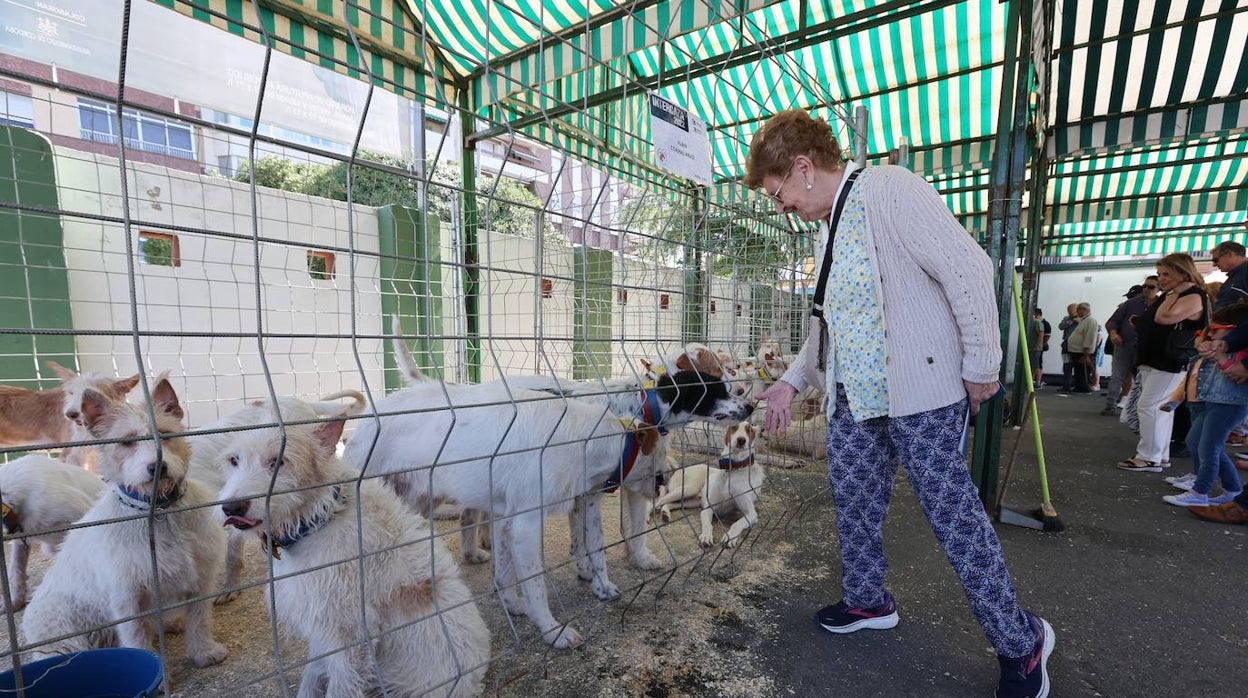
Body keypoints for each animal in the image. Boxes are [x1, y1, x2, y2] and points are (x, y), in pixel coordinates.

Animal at [19, 379, 229, 669]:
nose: (157, 467)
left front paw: (203, 653)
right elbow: (137, 639)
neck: (158, 511)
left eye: (165, 433)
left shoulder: (200, 581)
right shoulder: (127, 598)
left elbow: (199, 623)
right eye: (127, 441)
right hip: (67, 642)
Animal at [217, 404, 489, 698]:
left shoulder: (350, 637)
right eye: (234, 460)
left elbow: (340, 685)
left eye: (278, 461)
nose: (232, 508)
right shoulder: (321, 627)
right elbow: (313, 672)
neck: (320, 519)